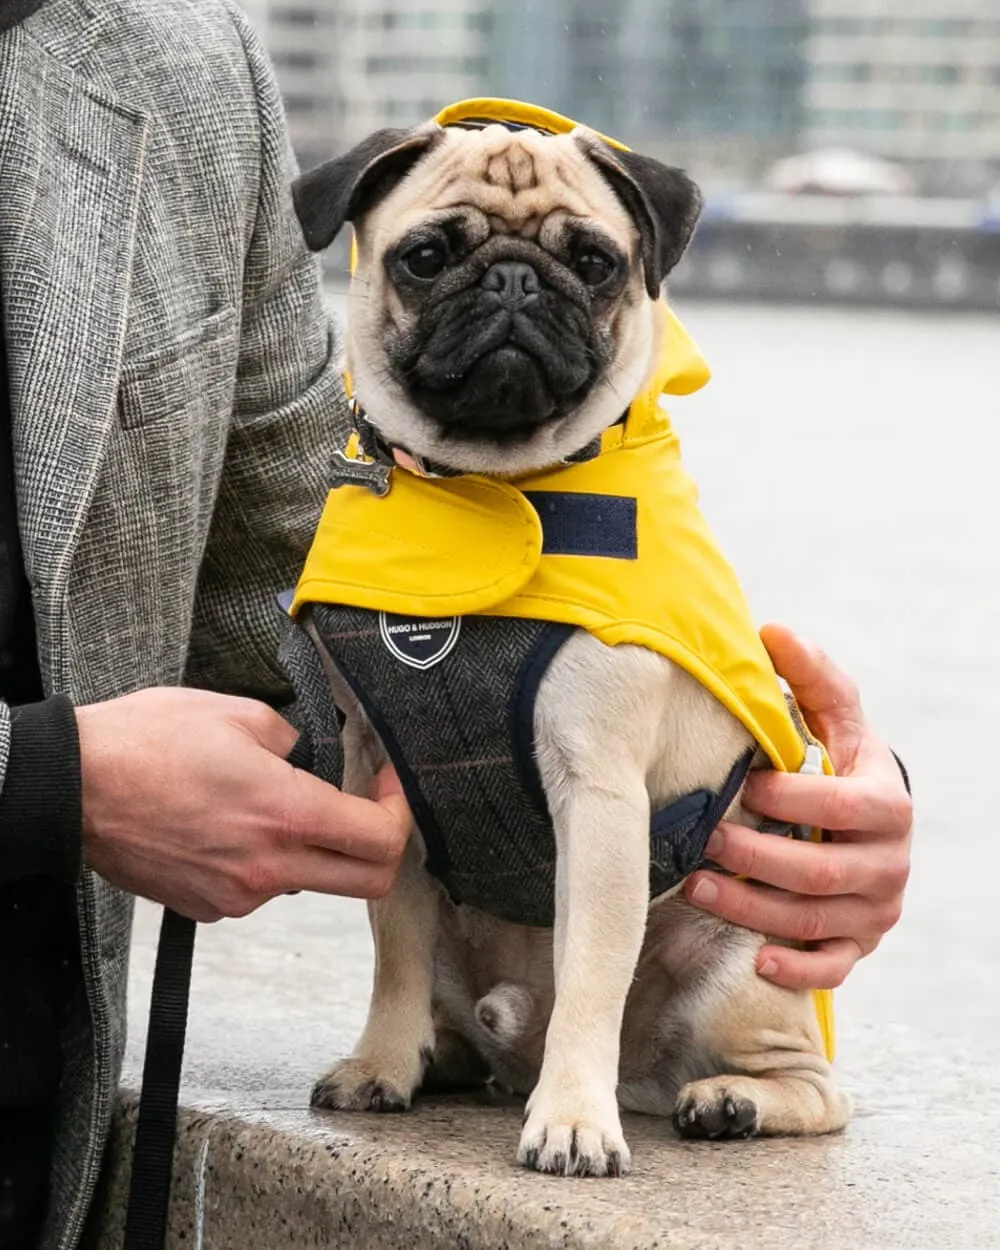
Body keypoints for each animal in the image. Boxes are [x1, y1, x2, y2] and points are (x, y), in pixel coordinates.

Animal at [288, 115, 850, 1170]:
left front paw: (575, 1123)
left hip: (746, 969)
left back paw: (728, 1102)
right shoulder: (385, 777)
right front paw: (381, 1063)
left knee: (814, 1086)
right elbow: (394, 948)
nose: (515, 280)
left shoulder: (600, 795)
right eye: (426, 257)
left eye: (593, 263)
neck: (484, 487)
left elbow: (592, 969)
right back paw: (442, 1056)